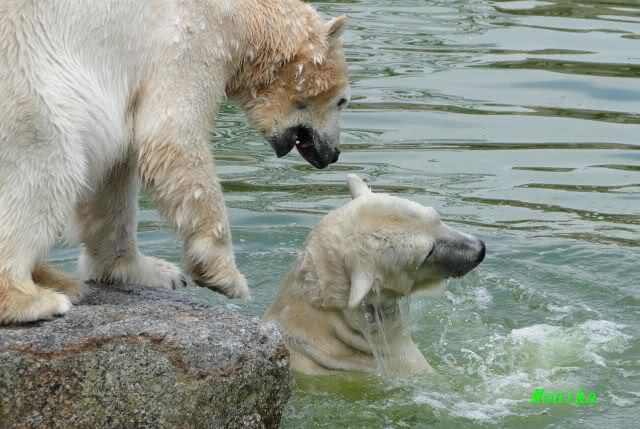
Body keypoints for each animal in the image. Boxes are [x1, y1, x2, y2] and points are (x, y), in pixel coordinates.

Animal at [0, 0, 350, 324]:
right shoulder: (191, 37)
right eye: (343, 100)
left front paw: (154, 272)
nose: (333, 154)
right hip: (29, 84)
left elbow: (117, 173)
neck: (245, 16)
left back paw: (62, 282)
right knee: (47, 166)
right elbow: (173, 136)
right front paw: (225, 277)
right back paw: (33, 300)